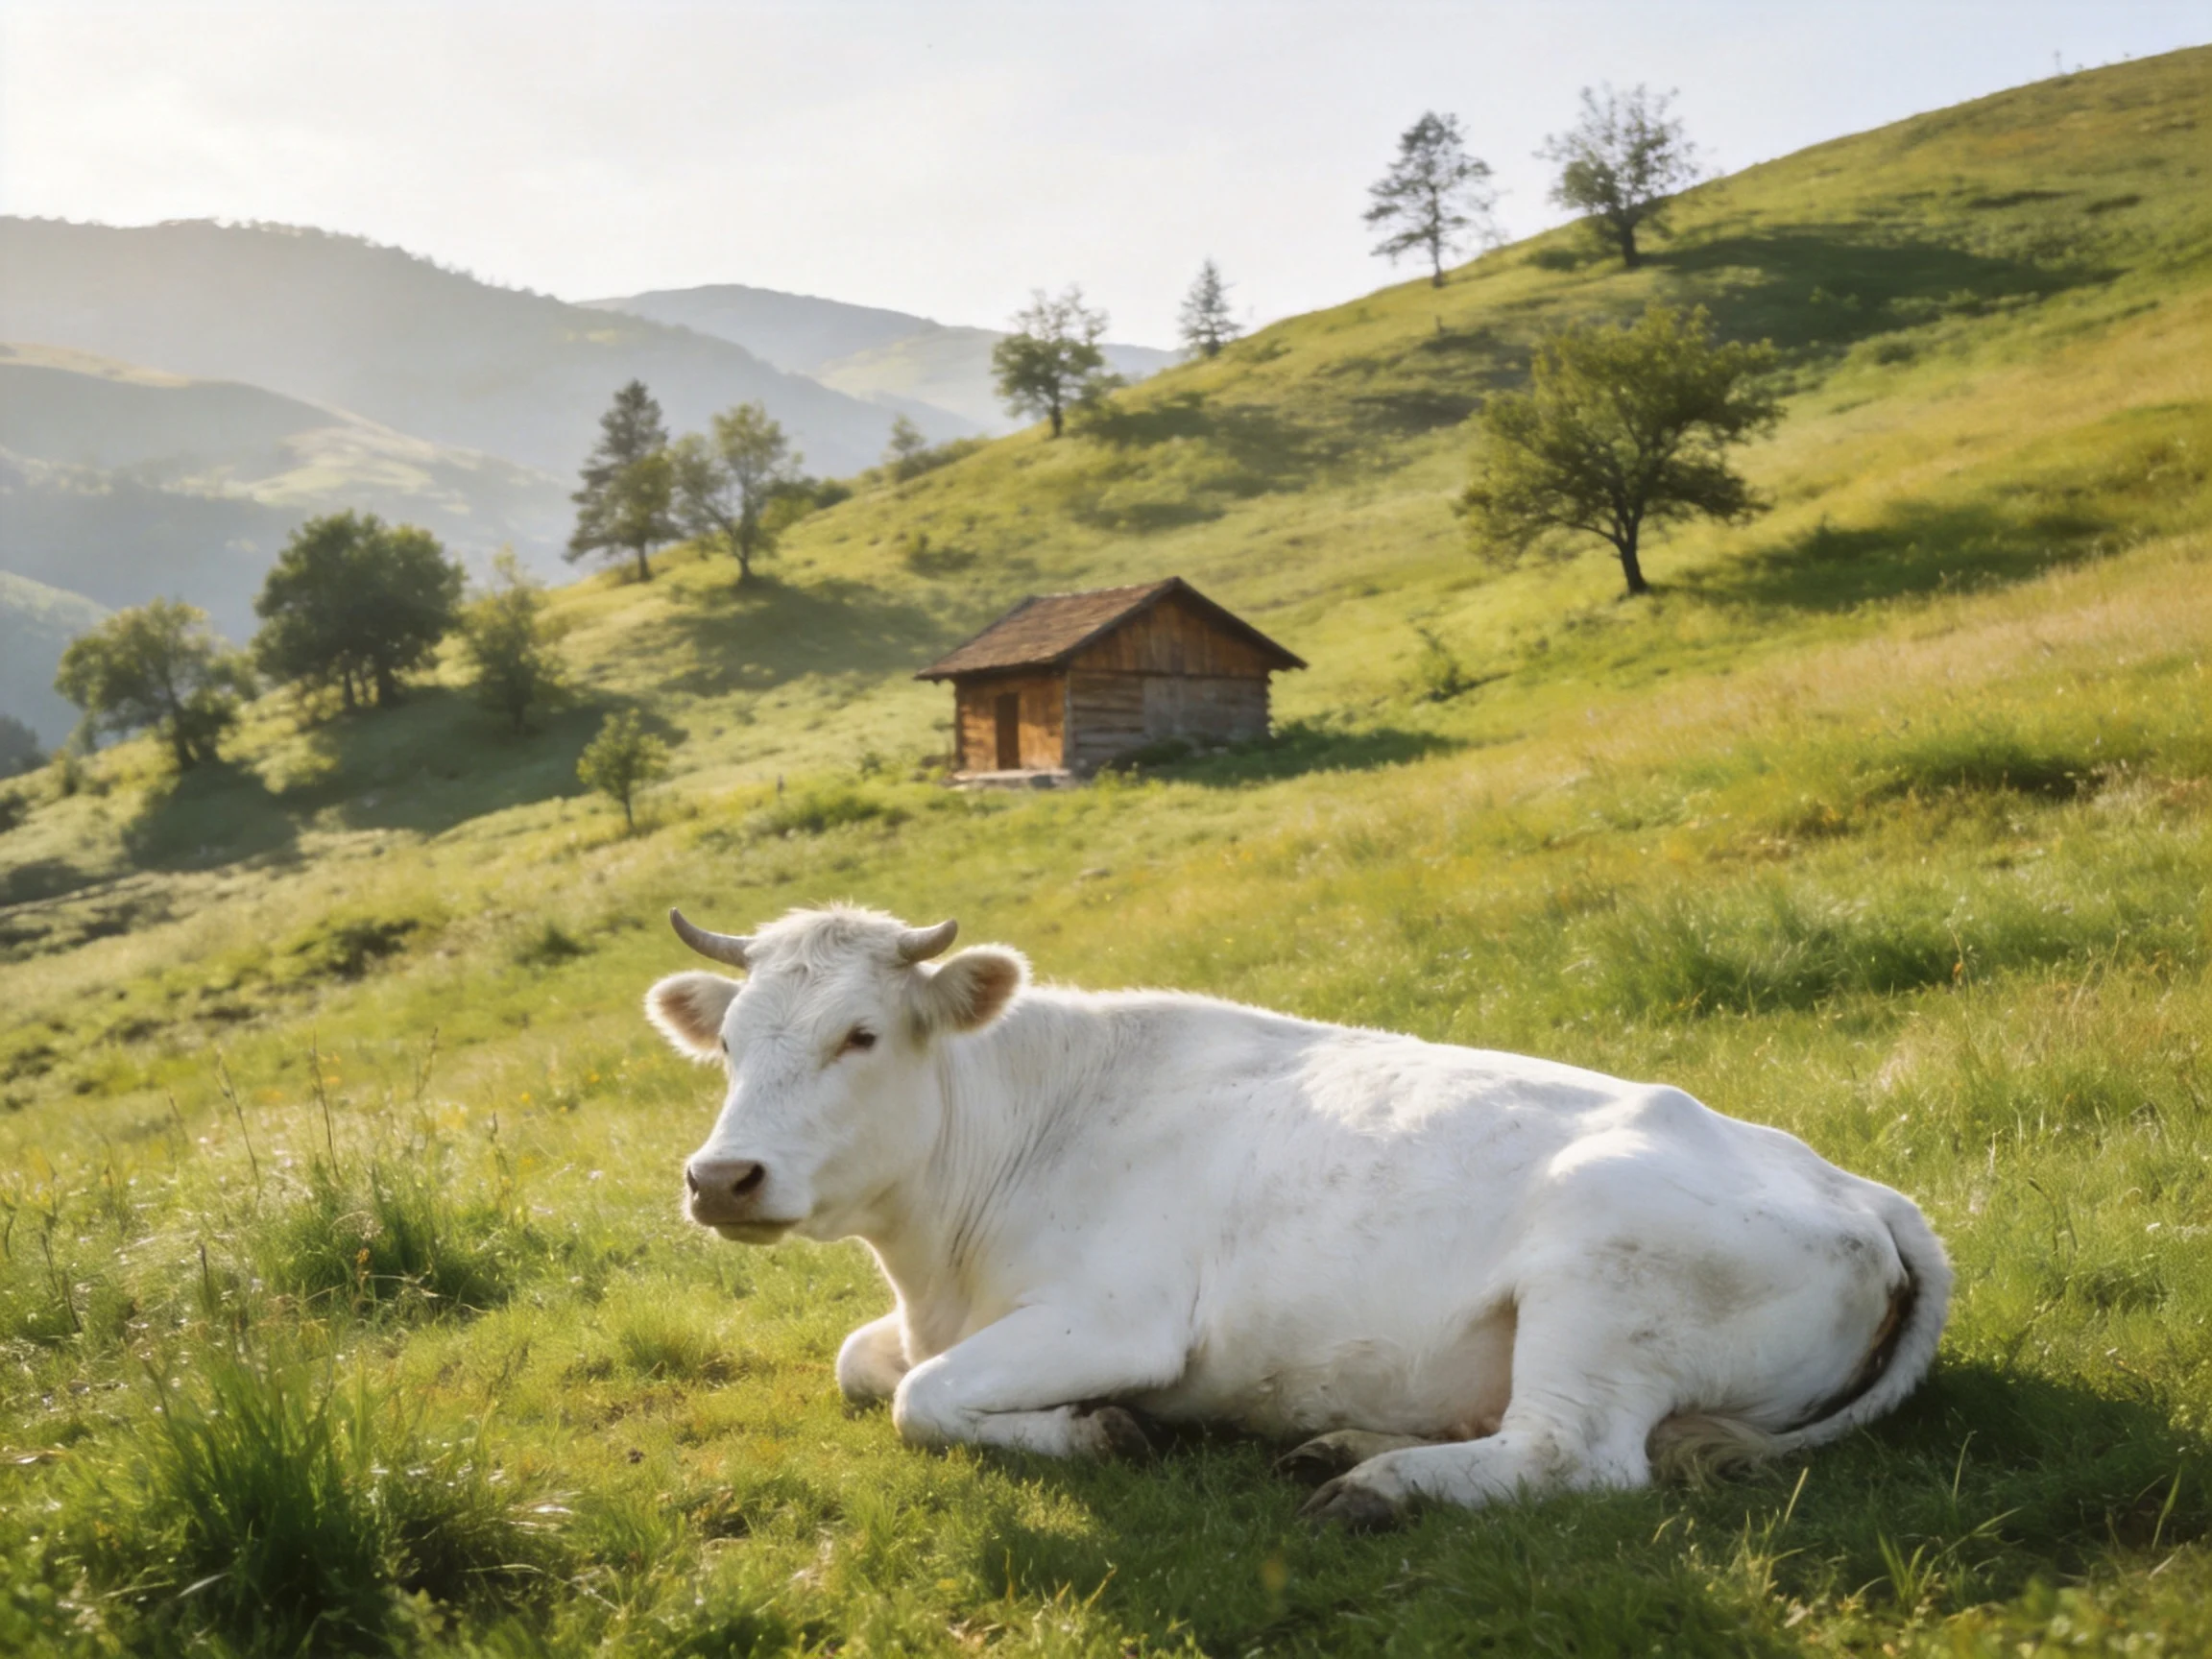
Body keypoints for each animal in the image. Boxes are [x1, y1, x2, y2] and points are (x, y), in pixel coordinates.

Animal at [646, 904, 1949, 1527]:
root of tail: (1859, 1186)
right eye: (730, 1042)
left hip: (1601, 1283)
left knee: (1572, 1456)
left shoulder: (1118, 1319)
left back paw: (1378, 1488)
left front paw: (1099, 1430)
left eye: (860, 1035)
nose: (722, 1178)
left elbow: (916, 1396)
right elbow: (862, 1362)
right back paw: (1347, 1443)